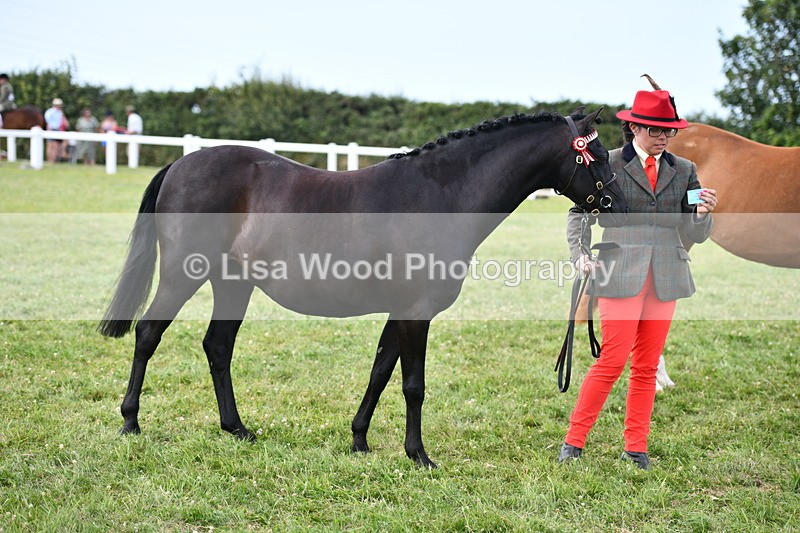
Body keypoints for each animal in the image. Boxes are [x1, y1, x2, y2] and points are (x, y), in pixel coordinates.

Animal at [98, 108, 628, 468]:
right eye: (599, 154)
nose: (622, 206)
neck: (439, 196)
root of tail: (181, 165)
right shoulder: (416, 312)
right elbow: (413, 385)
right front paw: (419, 455)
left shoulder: (401, 312)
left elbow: (379, 372)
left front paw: (359, 440)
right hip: (182, 275)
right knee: (148, 335)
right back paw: (130, 421)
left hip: (233, 284)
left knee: (218, 346)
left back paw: (237, 428)